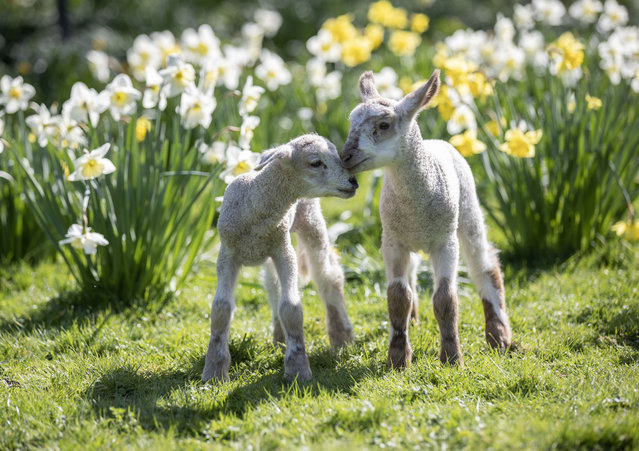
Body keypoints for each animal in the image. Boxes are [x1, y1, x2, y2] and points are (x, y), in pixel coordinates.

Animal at [202, 135, 358, 384]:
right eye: (315, 162)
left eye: (338, 157)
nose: (353, 181)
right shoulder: (228, 254)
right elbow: (221, 309)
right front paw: (214, 370)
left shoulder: (284, 252)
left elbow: (291, 308)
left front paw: (298, 368)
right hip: (271, 250)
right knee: (273, 284)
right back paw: (279, 338)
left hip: (310, 221)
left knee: (328, 276)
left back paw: (341, 336)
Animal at [342, 69, 512, 368]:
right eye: (351, 122)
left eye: (384, 125)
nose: (345, 155)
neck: (415, 207)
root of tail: (437, 142)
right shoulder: (392, 241)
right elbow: (398, 297)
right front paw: (398, 358)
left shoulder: (445, 242)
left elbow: (445, 299)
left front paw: (452, 357)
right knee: (411, 275)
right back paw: (412, 320)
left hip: (468, 210)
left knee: (484, 264)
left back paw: (499, 336)